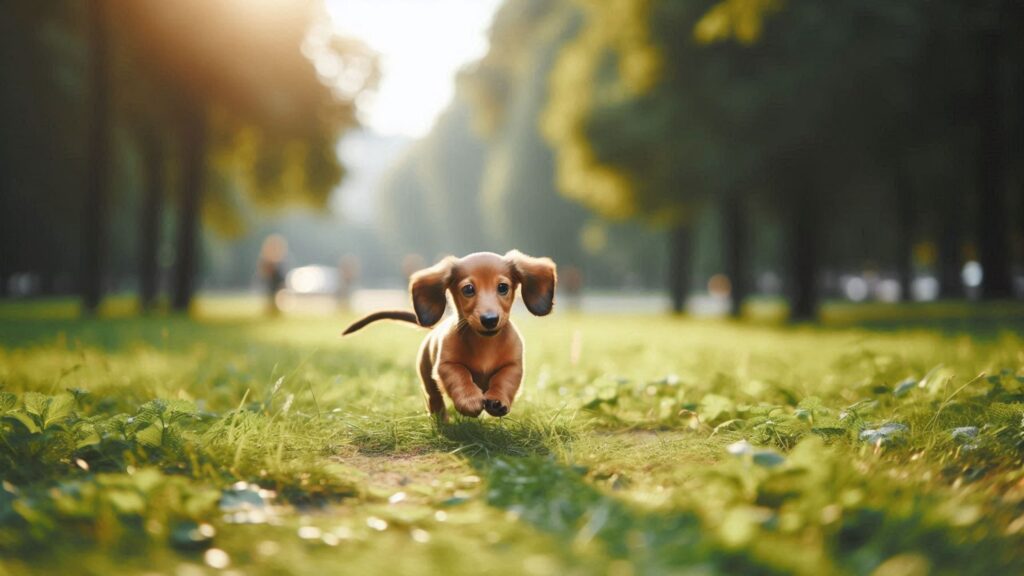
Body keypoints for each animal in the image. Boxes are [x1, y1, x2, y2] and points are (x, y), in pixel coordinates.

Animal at [344, 249, 557, 420]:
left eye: (503, 287)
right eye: (468, 289)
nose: (490, 320)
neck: (484, 343)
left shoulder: (513, 365)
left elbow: (504, 380)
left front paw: (498, 401)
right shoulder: (446, 365)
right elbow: (460, 376)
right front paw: (469, 401)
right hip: (427, 379)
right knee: (434, 399)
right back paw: (441, 421)